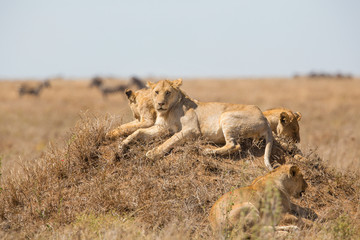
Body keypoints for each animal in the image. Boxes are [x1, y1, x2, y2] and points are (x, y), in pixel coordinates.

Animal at [119, 79, 274, 169]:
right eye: (156, 92)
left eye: (168, 92)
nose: (160, 104)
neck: (168, 111)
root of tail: (264, 118)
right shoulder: (161, 128)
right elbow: (138, 132)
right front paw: (122, 145)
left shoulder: (191, 129)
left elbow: (171, 140)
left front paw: (154, 153)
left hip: (226, 115)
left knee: (234, 145)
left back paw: (207, 151)